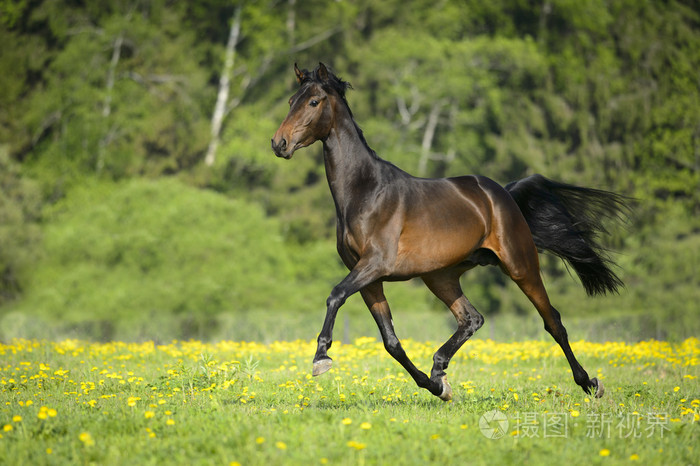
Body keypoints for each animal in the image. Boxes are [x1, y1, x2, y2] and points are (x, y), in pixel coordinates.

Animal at [270, 62, 628, 400]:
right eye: (290, 101)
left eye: (313, 101)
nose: (279, 143)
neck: (366, 191)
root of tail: (503, 194)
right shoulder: (369, 278)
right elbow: (391, 341)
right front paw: (436, 387)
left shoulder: (374, 264)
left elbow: (335, 295)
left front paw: (321, 357)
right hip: (440, 276)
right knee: (472, 318)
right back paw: (439, 368)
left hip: (520, 266)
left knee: (552, 320)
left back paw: (589, 383)